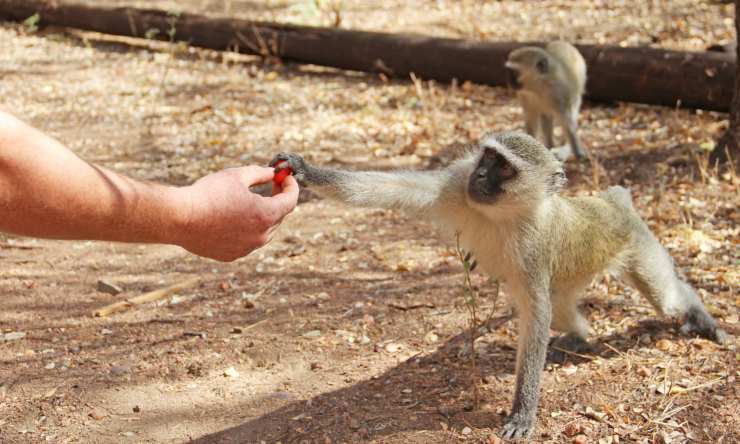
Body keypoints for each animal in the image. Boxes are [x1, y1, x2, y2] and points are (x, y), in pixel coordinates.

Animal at [268, 131, 724, 438]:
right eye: (487, 156)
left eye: (503, 167)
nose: (482, 171)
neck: (502, 214)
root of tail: (610, 203)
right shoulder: (457, 183)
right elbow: (395, 188)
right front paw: (306, 170)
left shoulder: (534, 247)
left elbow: (535, 316)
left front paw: (523, 410)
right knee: (562, 309)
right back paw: (581, 337)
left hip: (635, 241)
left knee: (665, 298)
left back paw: (698, 315)